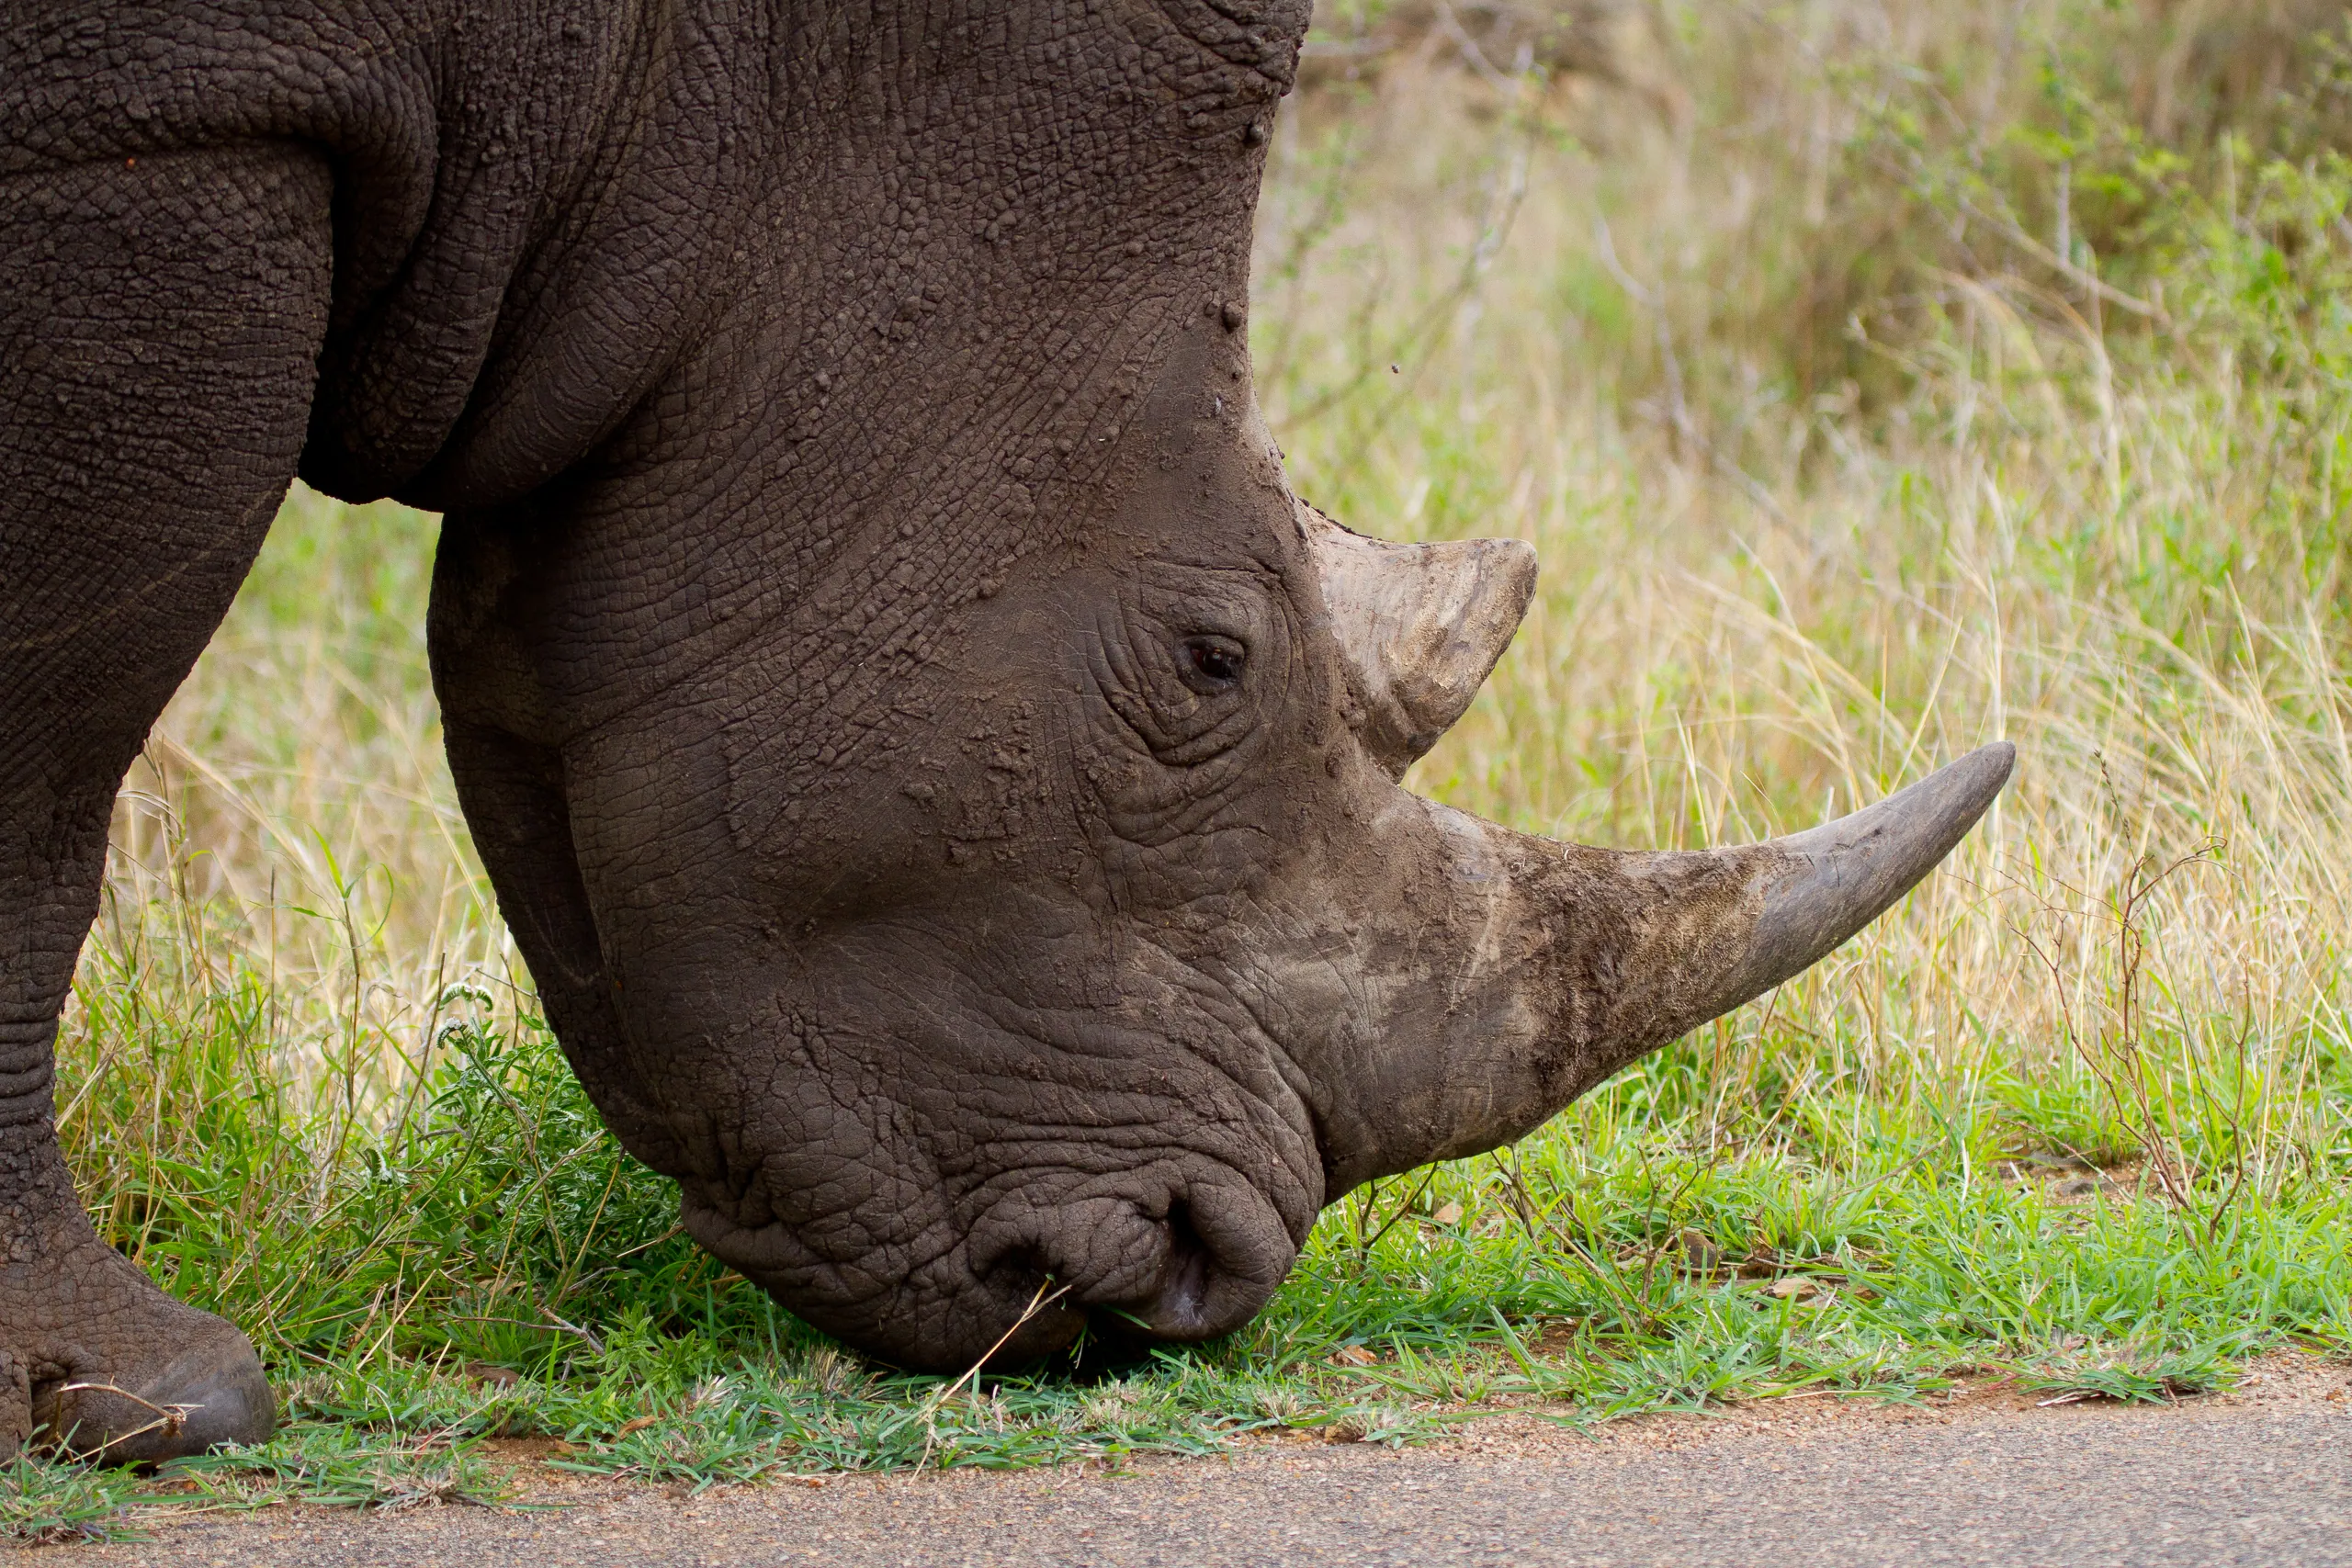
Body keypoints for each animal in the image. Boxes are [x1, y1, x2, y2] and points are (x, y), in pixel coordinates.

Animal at [0, 0, 2010, 1461]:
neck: (688, 80)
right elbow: (47, 773)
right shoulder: (162, 124)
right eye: (1209, 660)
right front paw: (155, 1406)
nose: (1183, 1276)